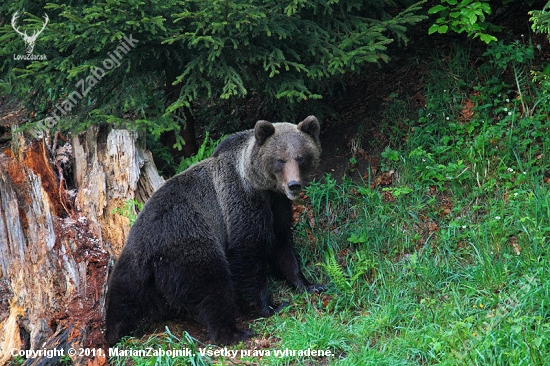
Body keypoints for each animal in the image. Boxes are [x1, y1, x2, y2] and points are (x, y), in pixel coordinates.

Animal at [105, 116, 326, 344]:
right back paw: (234, 332)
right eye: (280, 160)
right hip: (189, 244)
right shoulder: (241, 201)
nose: (294, 185)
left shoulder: (278, 205)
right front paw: (270, 305)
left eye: (301, 158)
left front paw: (310, 284)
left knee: (122, 297)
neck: (263, 188)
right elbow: (249, 253)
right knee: (214, 286)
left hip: (132, 262)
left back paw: (113, 332)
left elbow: (282, 243)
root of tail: (150, 254)